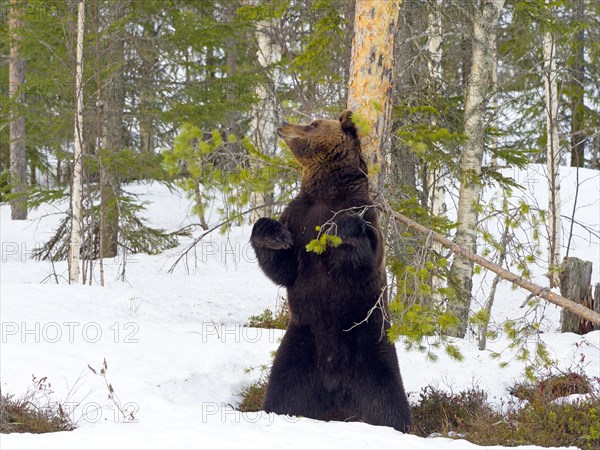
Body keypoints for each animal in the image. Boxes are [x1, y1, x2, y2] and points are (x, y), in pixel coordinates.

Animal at [250, 110, 412, 432]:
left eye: (312, 124)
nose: (284, 125)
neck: (327, 192)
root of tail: (334, 384)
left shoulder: (362, 212)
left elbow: (361, 260)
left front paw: (344, 228)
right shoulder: (299, 216)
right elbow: (284, 268)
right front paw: (272, 234)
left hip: (371, 348)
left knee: (387, 404)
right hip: (299, 347)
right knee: (282, 392)